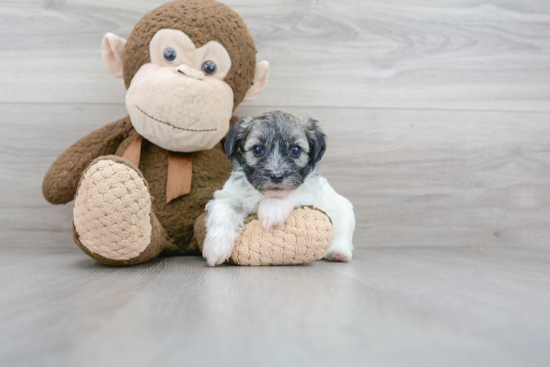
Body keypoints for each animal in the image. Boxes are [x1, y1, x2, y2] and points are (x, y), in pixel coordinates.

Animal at [203, 110, 358, 266]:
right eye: (257, 149)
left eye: (295, 150)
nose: (277, 176)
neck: (263, 194)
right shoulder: (228, 197)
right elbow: (223, 213)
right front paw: (216, 248)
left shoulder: (309, 189)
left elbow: (291, 193)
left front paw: (272, 210)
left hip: (344, 212)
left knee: (343, 233)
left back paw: (339, 252)